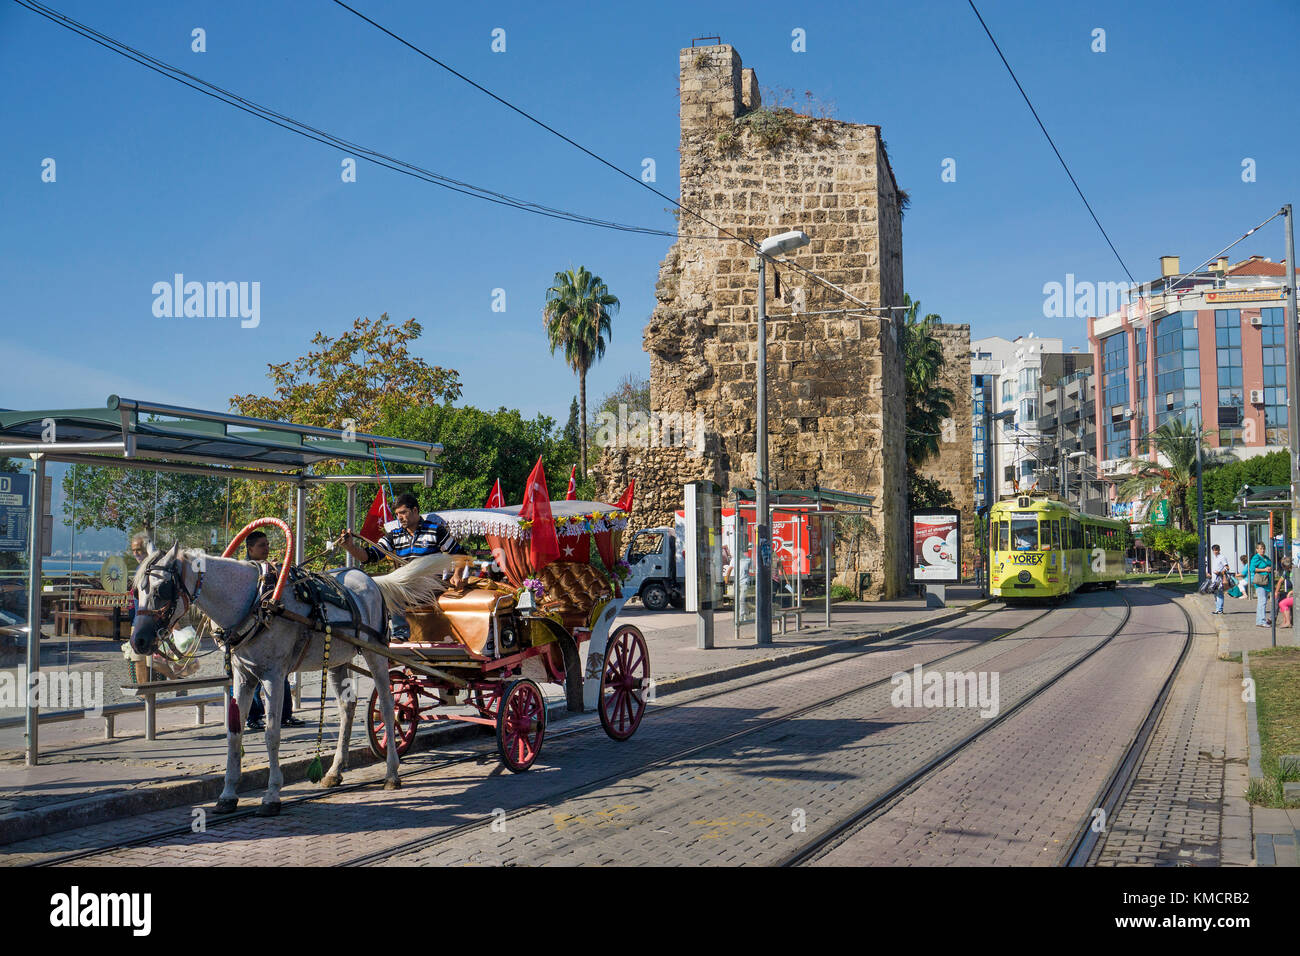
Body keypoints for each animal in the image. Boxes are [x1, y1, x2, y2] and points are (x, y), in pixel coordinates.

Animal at [129, 541, 449, 816]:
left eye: (162, 589)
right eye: (136, 591)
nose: (138, 641)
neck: (256, 601)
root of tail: (370, 580)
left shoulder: (274, 676)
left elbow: (272, 734)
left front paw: (272, 795)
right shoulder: (244, 677)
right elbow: (234, 734)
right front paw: (228, 795)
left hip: (376, 653)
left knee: (386, 705)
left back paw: (392, 773)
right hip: (337, 659)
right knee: (347, 708)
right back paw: (334, 771)